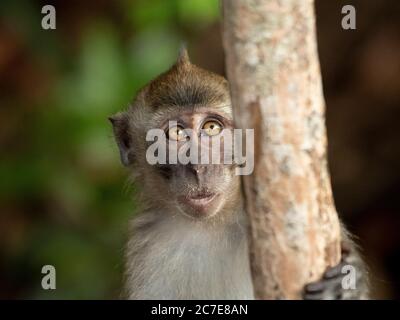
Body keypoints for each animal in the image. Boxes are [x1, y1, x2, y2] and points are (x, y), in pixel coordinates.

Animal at [108, 48, 368, 300]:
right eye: (177, 133)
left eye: (211, 127)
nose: (198, 166)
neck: (209, 225)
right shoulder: (147, 243)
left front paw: (346, 286)